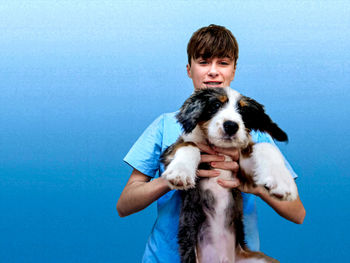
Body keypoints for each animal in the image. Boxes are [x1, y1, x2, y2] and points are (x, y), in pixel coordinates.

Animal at [161, 87, 298, 262]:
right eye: (216, 105)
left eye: (244, 111)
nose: (231, 126)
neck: (221, 149)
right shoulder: (168, 153)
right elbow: (190, 145)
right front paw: (180, 172)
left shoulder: (243, 171)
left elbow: (266, 146)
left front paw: (282, 183)